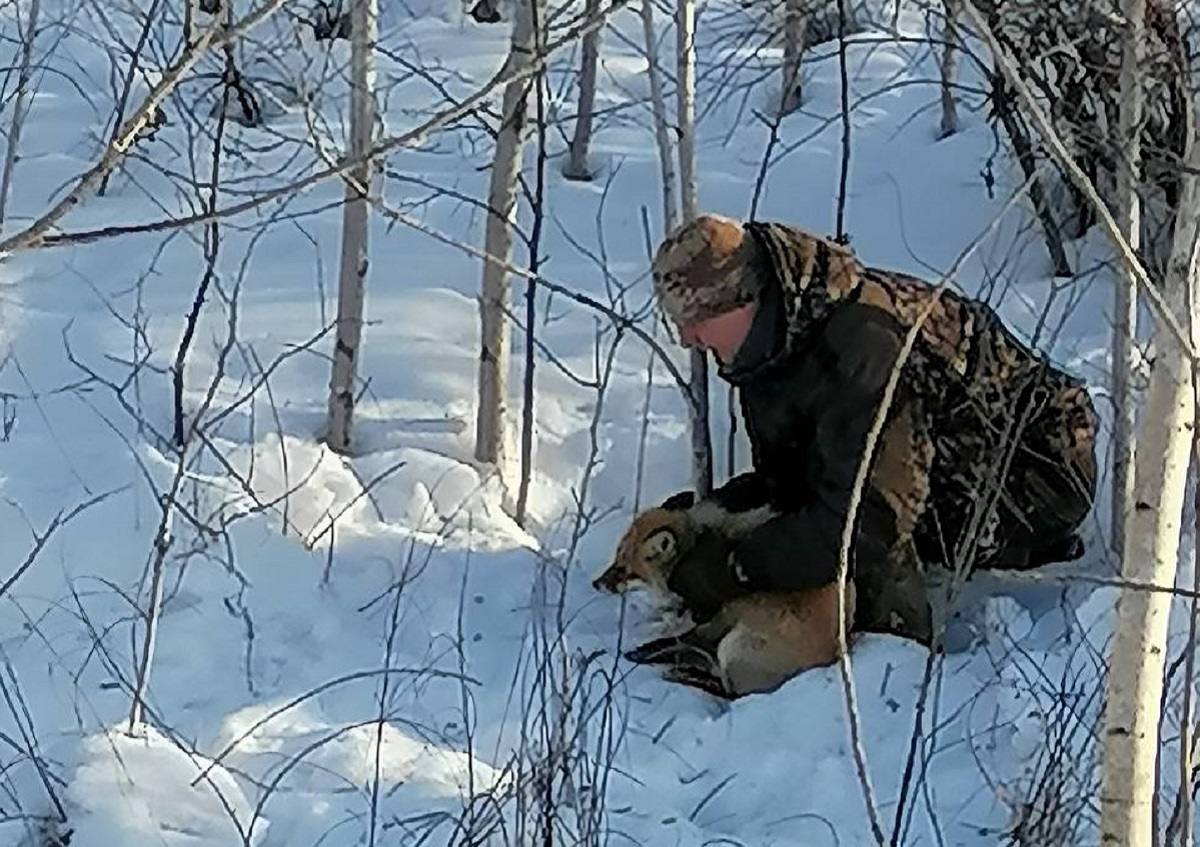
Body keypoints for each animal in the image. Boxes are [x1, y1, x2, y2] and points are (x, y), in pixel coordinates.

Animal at [590, 499, 854, 695]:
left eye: (623, 570)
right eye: (615, 561)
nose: (595, 584)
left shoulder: (718, 618)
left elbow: (671, 643)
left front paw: (639, 654)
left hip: (734, 646)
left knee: (731, 692)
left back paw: (688, 675)